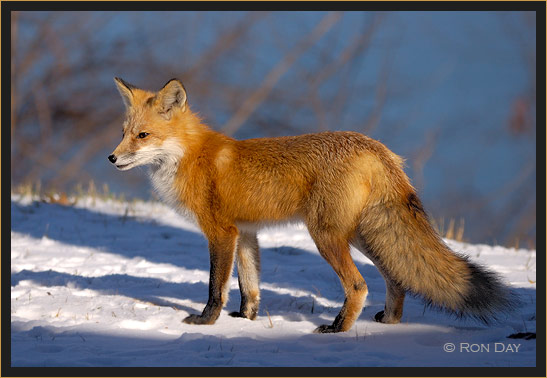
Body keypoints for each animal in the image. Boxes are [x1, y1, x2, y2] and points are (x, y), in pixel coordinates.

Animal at [109, 78, 516, 332]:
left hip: (325, 235)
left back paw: (338, 329)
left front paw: (206, 323)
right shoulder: (246, 233)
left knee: (358, 285)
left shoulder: (221, 233)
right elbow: (250, 287)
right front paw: (245, 322)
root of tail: (376, 146)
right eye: (124, 133)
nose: (111, 158)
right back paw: (389, 321)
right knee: (396, 279)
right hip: (363, 235)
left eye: (143, 136)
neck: (191, 156)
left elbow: (215, 288)